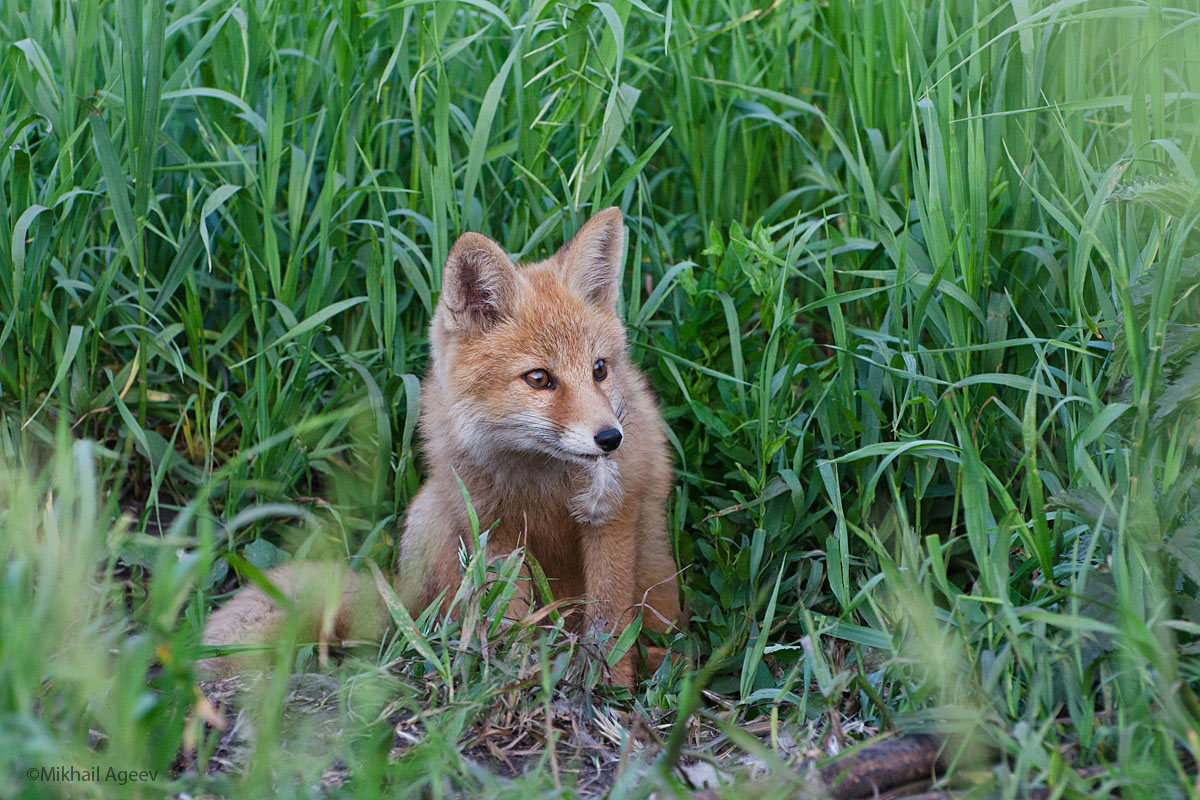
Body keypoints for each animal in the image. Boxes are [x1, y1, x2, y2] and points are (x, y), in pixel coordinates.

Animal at [201, 209, 681, 686]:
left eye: (599, 369)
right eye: (539, 378)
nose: (610, 439)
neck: (542, 484)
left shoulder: (612, 518)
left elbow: (610, 618)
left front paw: (609, 689)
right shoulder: (495, 529)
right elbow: (509, 619)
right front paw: (514, 680)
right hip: (432, 515)